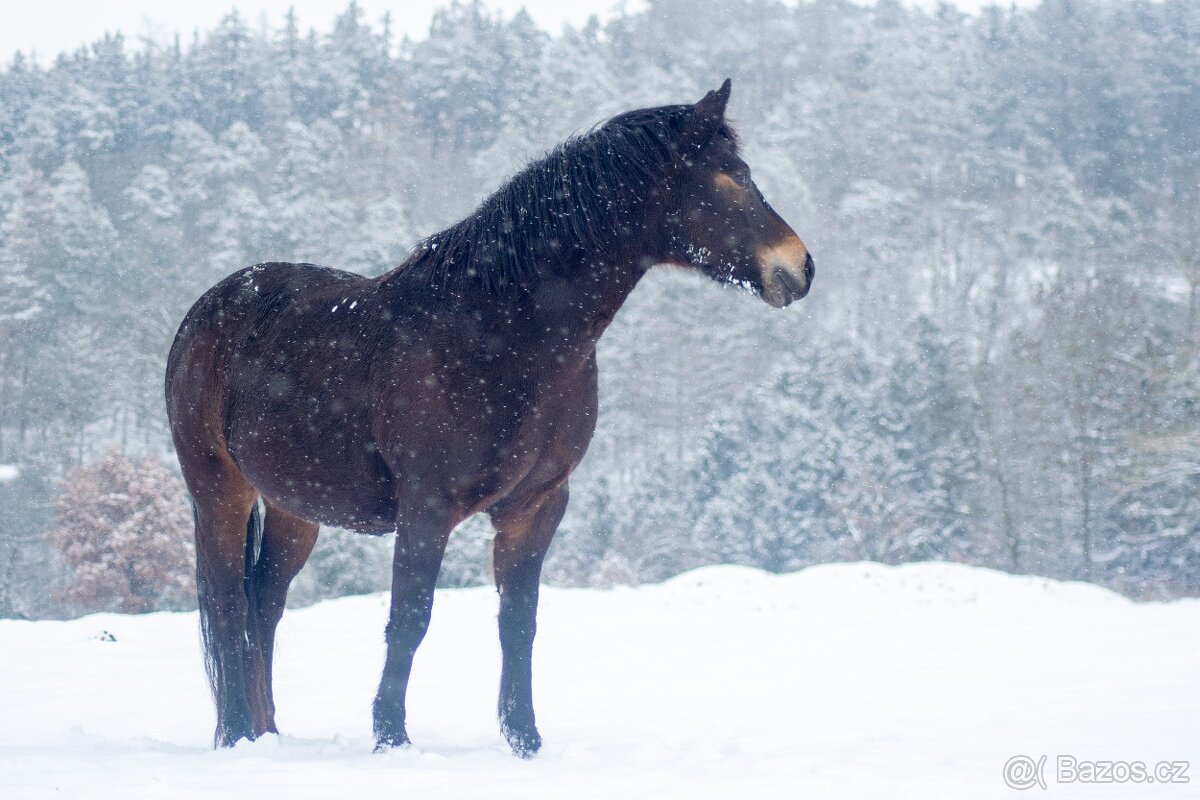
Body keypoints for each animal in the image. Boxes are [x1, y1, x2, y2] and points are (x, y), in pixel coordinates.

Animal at [165, 79, 814, 756]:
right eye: (732, 174)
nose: (800, 267)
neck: (500, 332)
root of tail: (208, 309)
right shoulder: (426, 508)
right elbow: (410, 619)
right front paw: (391, 738)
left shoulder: (536, 506)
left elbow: (518, 624)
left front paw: (525, 739)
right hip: (219, 491)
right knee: (228, 606)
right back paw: (237, 734)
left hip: (294, 507)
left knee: (264, 603)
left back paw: (266, 733)